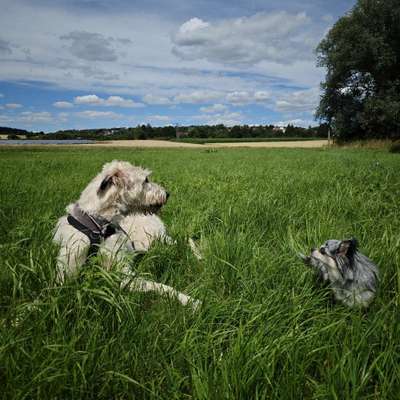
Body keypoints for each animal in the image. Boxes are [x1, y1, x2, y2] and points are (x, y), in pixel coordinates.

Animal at [54, 159, 200, 310]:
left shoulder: (122, 273)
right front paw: (189, 300)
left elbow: (159, 286)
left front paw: (188, 299)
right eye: (146, 180)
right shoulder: (68, 270)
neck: (98, 226)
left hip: (157, 239)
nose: (167, 193)